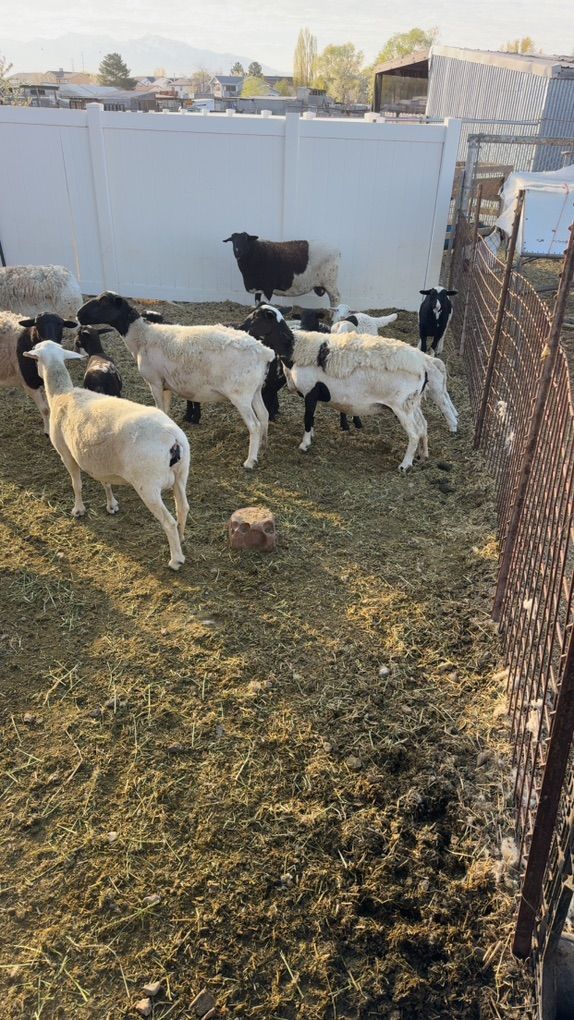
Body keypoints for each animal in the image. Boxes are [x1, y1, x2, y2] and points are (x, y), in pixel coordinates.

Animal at [23, 340, 190, 570]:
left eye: (35, 356)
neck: (62, 393)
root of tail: (173, 439)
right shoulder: (100, 461)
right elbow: (106, 482)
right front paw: (112, 506)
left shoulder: (66, 454)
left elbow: (76, 484)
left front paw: (78, 509)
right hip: (181, 475)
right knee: (183, 508)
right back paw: (181, 540)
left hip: (148, 485)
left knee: (169, 521)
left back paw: (175, 559)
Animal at [77, 292, 275, 470]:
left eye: (104, 302)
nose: (79, 314)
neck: (142, 337)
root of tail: (264, 352)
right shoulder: (166, 386)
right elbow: (165, 412)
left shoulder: (155, 382)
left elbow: (160, 408)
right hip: (255, 390)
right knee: (264, 415)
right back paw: (263, 446)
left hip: (240, 395)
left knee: (254, 424)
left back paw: (250, 461)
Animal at [239, 305, 458, 471]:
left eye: (256, 318)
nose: (240, 328)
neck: (295, 348)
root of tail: (422, 365)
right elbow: (312, 418)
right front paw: (312, 438)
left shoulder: (310, 392)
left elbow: (307, 418)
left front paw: (304, 444)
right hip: (412, 403)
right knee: (423, 426)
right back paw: (423, 454)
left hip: (401, 406)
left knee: (413, 433)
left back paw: (405, 465)